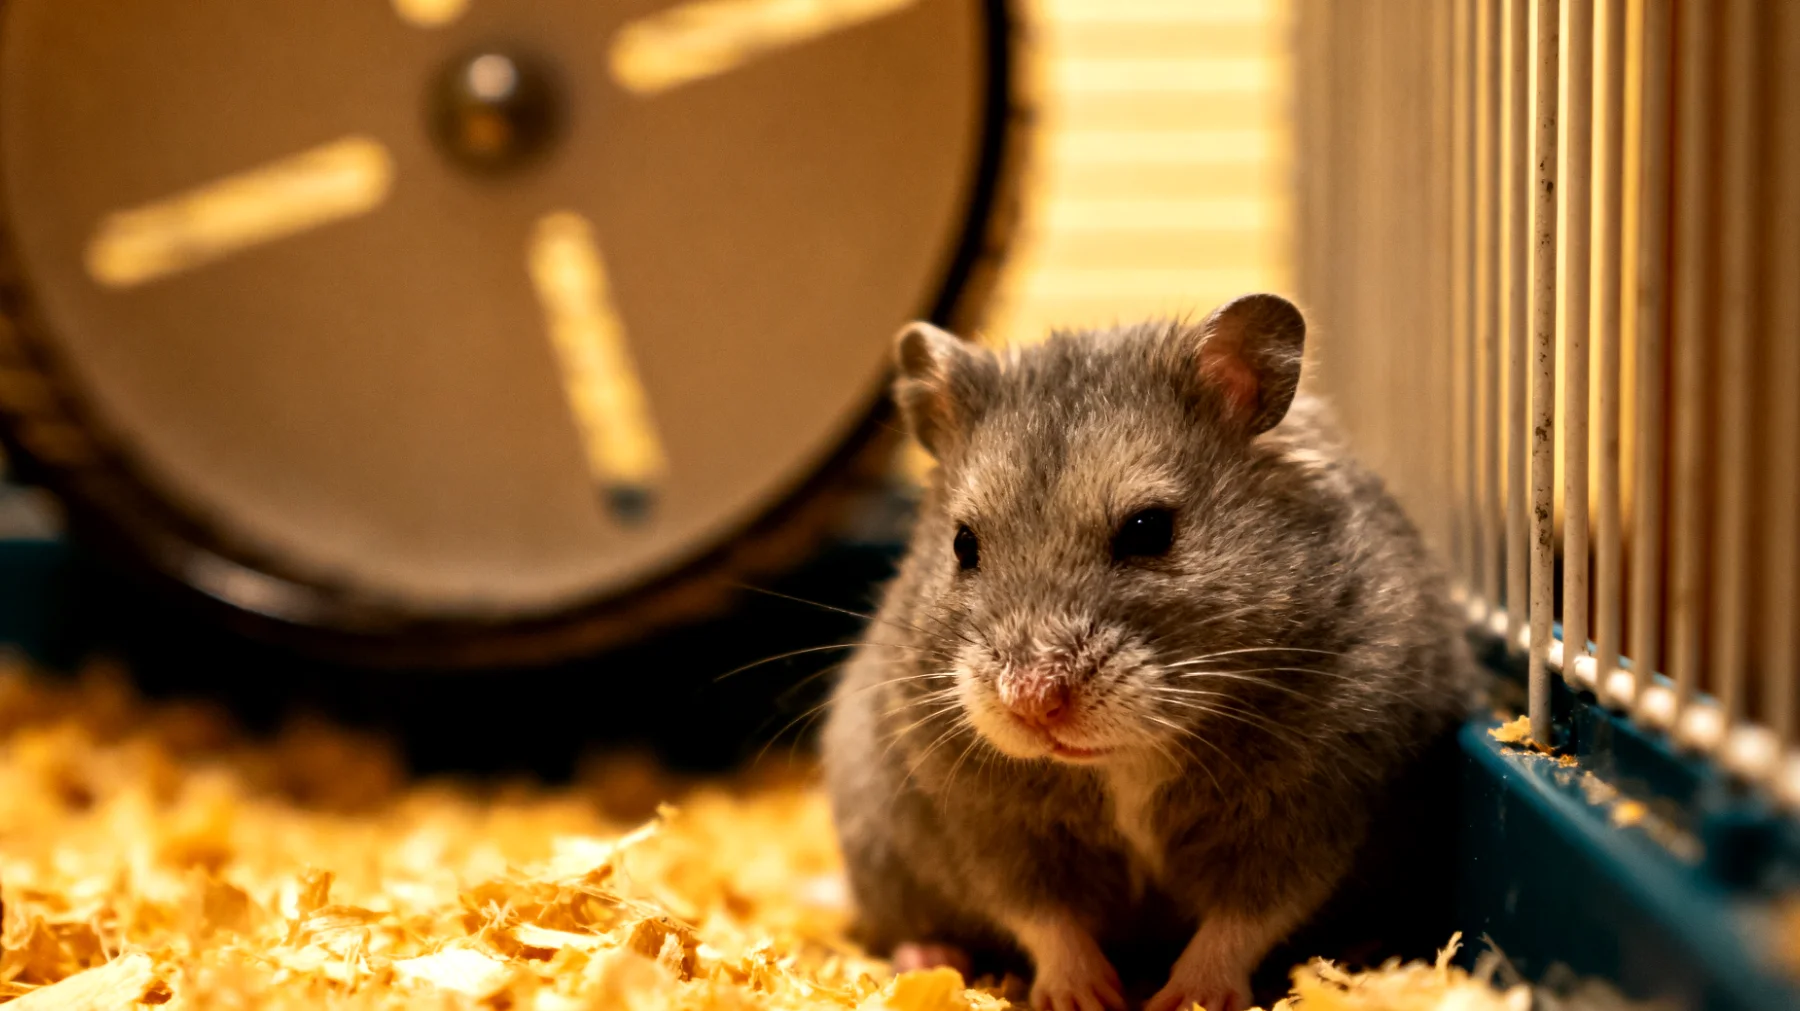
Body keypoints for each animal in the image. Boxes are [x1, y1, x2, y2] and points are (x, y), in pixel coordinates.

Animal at [821, 294, 1476, 1011]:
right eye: (964, 544)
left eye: (1149, 529)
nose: (1032, 702)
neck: (1121, 759)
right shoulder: (989, 823)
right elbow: (1043, 914)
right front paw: (1085, 997)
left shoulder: (1310, 809)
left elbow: (1244, 917)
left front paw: (1186, 998)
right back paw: (931, 958)